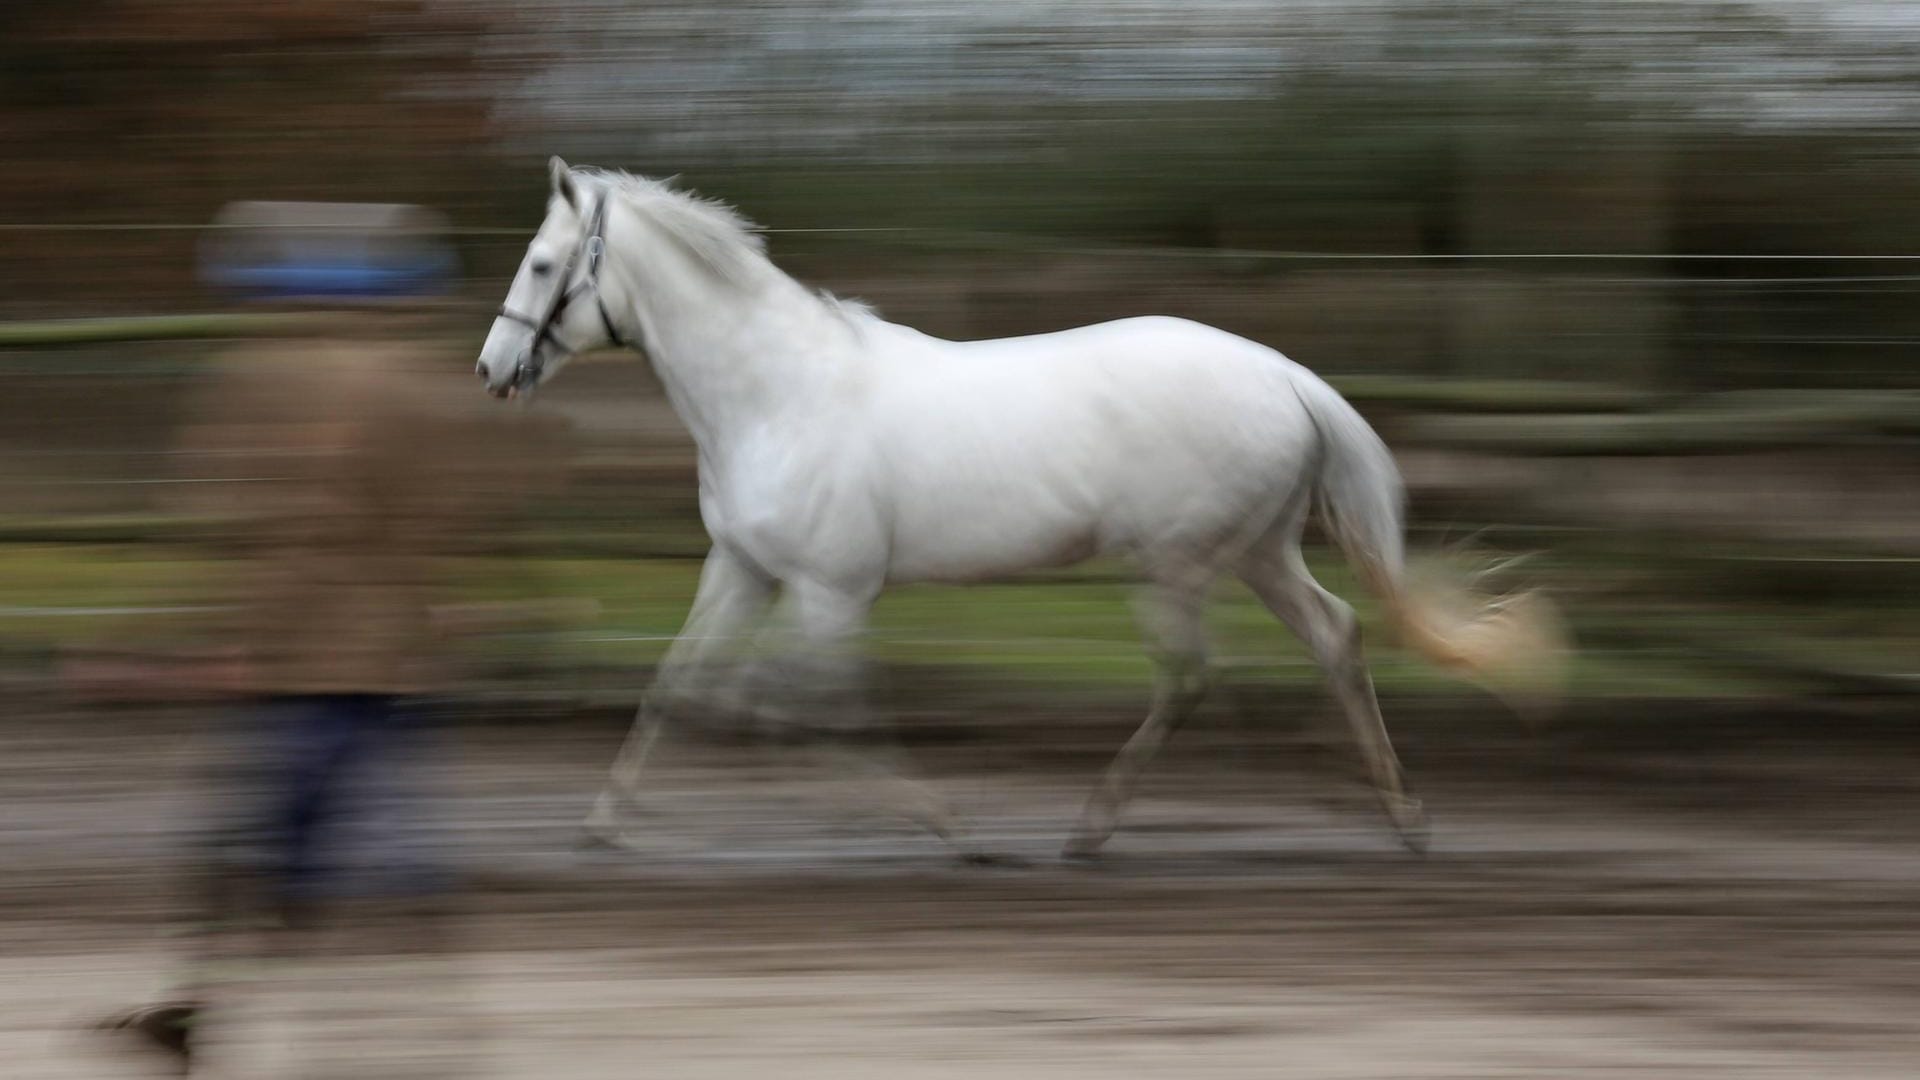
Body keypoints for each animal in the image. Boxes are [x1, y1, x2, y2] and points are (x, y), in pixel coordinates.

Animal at [476, 155, 1559, 853]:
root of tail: (1286, 375)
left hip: (1177, 563)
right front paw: (603, 821)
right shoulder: (743, 568)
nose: (491, 370)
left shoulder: (830, 589)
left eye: (542, 262)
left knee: (1191, 675)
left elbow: (806, 708)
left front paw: (945, 824)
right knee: (1334, 636)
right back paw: (1401, 816)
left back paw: (1094, 824)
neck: (776, 395)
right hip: (1259, 552)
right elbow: (681, 683)